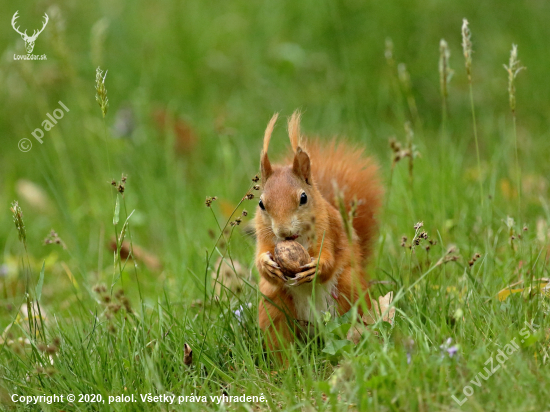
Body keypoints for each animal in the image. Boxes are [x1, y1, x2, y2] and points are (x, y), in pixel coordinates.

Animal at [254, 110, 384, 354]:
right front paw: (266, 264)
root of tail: (316, 329)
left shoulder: (329, 231)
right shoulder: (264, 237)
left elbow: (329, 260)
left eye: (303, 197)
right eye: (261, 204)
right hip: (273, 306)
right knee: (281, 342)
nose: (283, 232)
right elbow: (260, 261)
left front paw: (315, 268)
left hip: (350, 289)